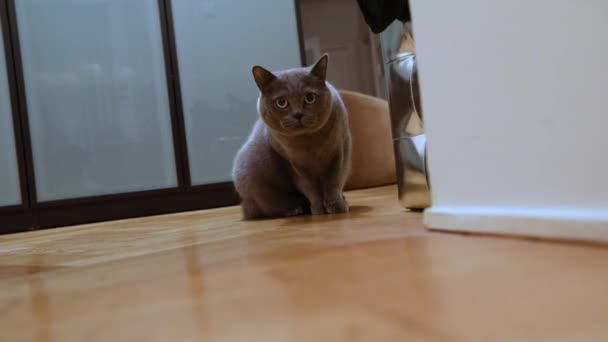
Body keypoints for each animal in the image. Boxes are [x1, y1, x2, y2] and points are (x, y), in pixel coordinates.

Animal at [232, 53, 352, 219]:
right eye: (281, 102)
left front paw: (336, 206)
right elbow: (310, 188)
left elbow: (333, 182)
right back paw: (294, 210)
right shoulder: (292, 164)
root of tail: (244, 205)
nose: (298, 114)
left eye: (310, 98)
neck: (309, 144)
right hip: (251, 176)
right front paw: (318, 209)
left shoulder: (338, 152)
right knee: (265, 207)